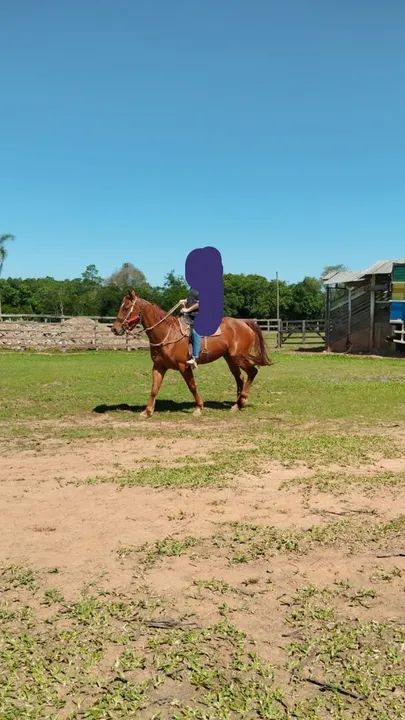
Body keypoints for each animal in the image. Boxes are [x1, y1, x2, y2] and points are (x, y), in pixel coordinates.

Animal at [111, 290, 271, 418]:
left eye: (126, 308)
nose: (114, 329)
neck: (167, 333)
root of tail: (243, 323)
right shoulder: (158, 366)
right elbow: (154, 388)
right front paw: (147, 411)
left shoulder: (184, 366)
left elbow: (192, 386)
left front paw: (199, 408)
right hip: (230, 359)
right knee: (240, 378)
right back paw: (238, 404)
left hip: (239, 357)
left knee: (252, 372)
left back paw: (242, 400)